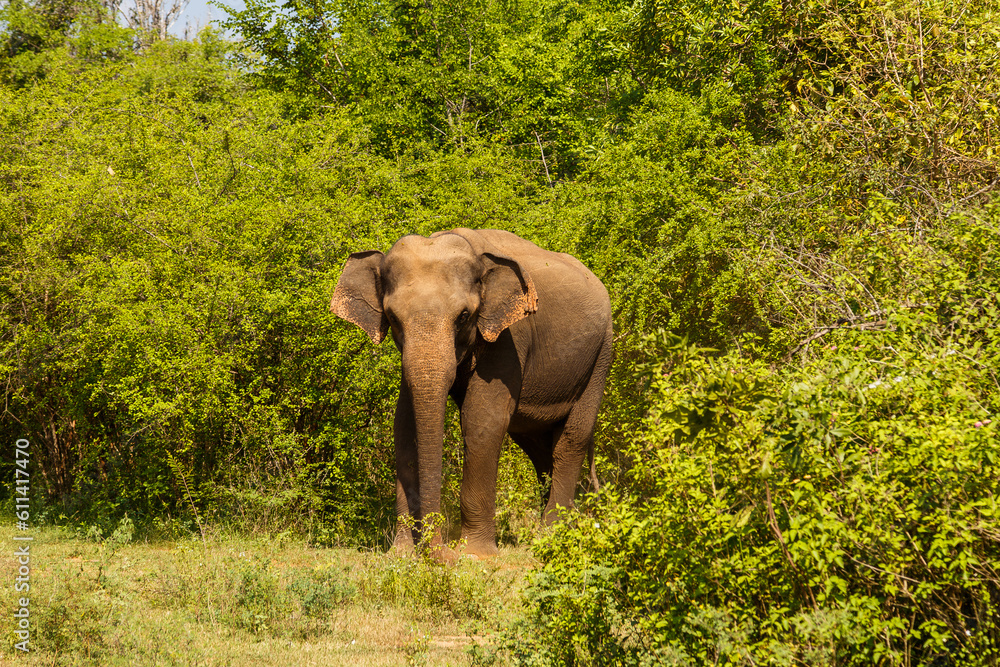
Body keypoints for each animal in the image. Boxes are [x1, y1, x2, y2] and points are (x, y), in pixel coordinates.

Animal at [331, 228, 612, 559]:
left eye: (464, 316)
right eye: (393, 318)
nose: (441, 552)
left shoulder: (508, 338)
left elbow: (482, 420)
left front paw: (474, 554)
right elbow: (404, 424)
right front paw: (402, 553)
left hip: (601, 356)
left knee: (571, 438)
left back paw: (550, 538)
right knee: (538, 446)